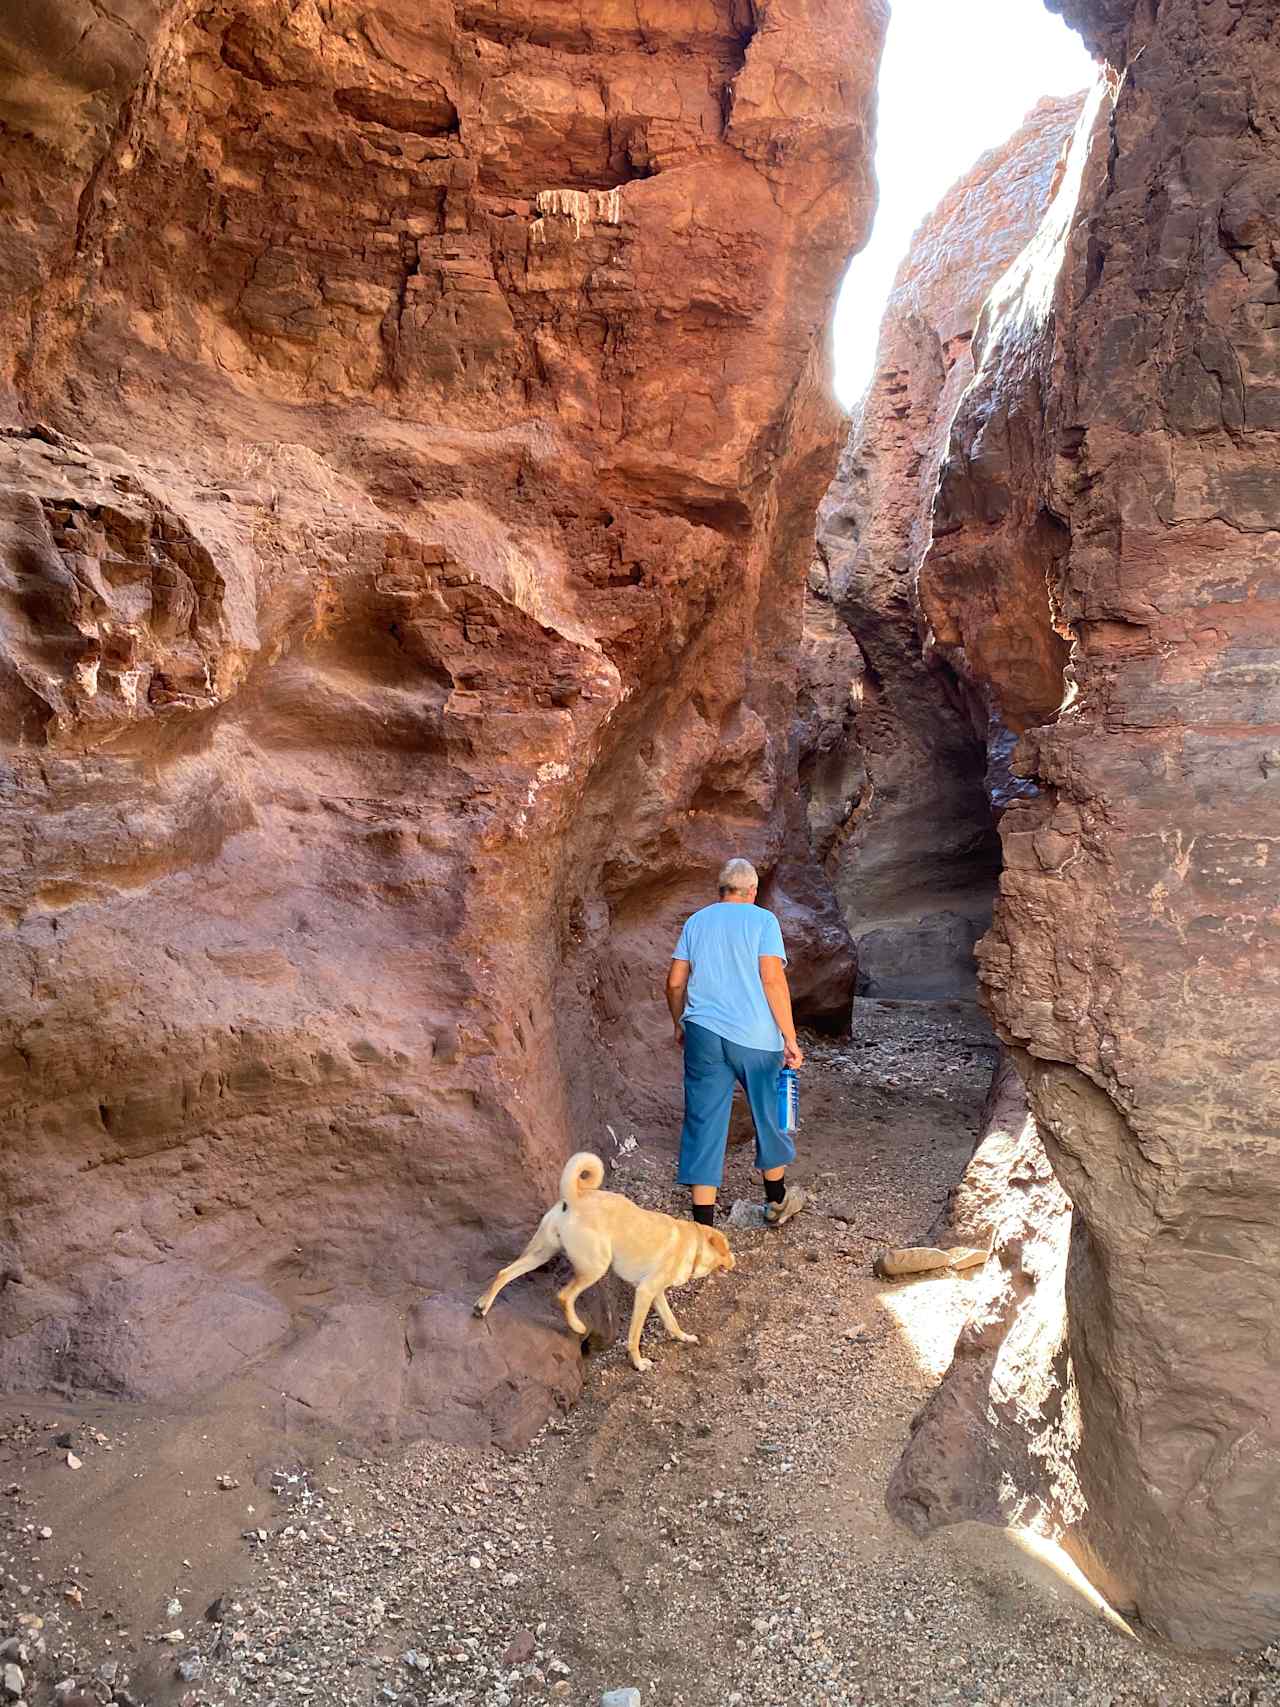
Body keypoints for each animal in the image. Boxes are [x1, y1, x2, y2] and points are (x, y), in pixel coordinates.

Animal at [474, 1147, 737, 1372]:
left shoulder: (656, 1294)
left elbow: (671, 1321)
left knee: (504, 1273)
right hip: (595, 1267)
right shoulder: (645, 1292)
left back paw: (482, 1306)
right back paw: (577, 1326)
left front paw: (684, 1337)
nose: (735, 1261)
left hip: (542, 1253)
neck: (693, 1244)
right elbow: (634, 1335)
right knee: (564, 1296)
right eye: (727, 1249)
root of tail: (576, 1196)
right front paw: (638, 1363)